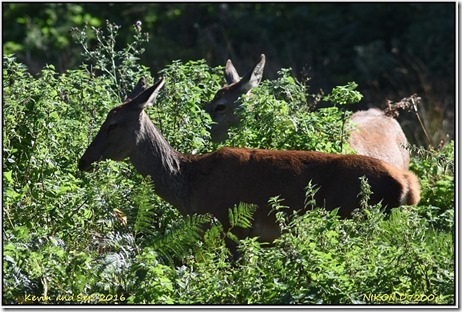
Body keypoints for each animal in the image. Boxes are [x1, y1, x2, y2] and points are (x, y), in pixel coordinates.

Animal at [78, 77, 418, 245]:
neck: (190, 186)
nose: (84, 161)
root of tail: (409, 186)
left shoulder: (229, 225)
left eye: (112, 125)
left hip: (361, 216)